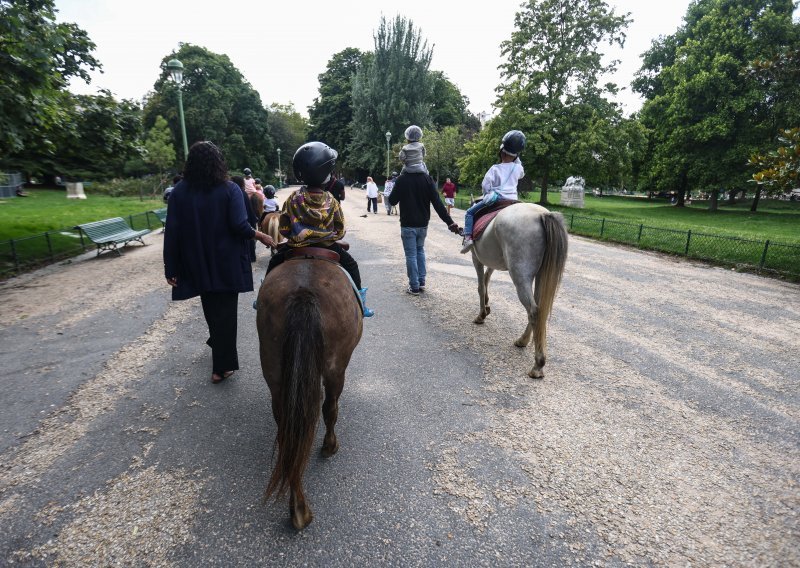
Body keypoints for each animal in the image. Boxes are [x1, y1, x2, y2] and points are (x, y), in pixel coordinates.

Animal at [256, 255, 362, 532]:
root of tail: (303, 292)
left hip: (275, 372)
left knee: (289, 430)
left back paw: (298, 508)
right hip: (336, 368)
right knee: (330, 408)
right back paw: (329, 447)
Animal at [468, 202, 568, 380]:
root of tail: (542, 215)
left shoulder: (476, 258)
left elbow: (481, 285)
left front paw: (481, 315)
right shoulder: (492, 262)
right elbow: (486, 279)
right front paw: (486, 306)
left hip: (520, 275)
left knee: (533, 311)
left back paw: (538, 364)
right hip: (541, 275)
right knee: (538, 309)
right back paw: (523, 341)